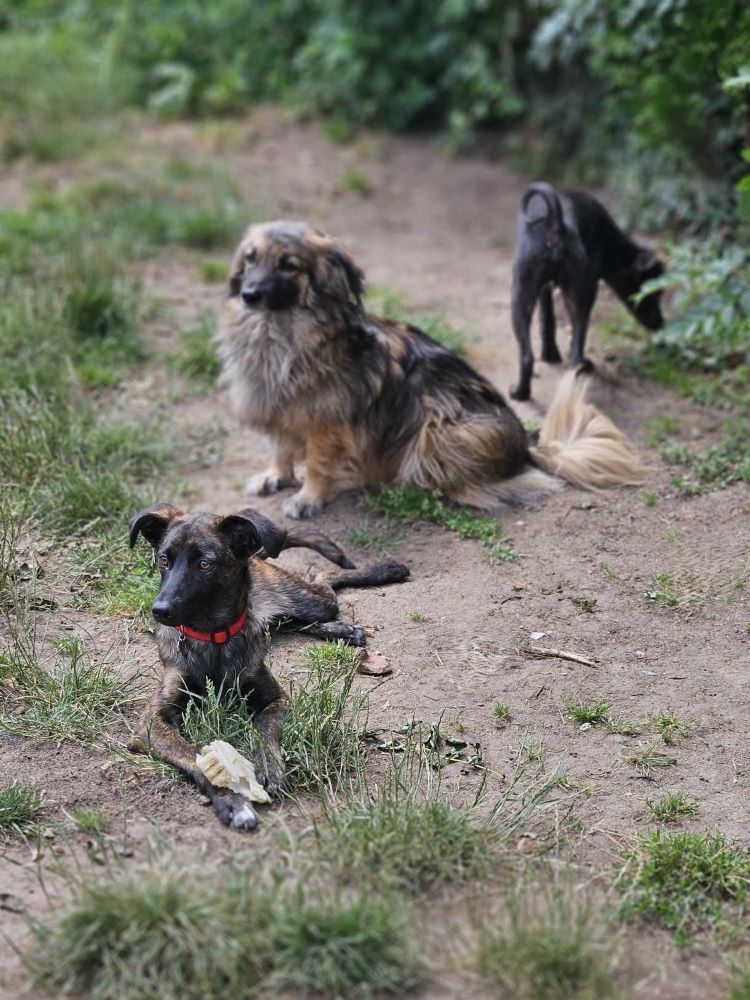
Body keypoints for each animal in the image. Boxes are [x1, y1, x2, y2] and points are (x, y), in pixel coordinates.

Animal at [130, 504, 412, 832]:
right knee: (297, 613)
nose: (159, 610)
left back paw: (385, 571)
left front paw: (270, 765)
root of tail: (256, 555)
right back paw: (342, 628)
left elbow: (264, 728)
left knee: (324, 577)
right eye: (164, 559)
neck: (213, 636)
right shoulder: (152, 721)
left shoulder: (276, 698)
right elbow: (193, 755)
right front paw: (232, 797)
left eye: (204, 564)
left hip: (307, 600)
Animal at [219, 222, 648, 520]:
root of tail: (527, 447)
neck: (281, 333)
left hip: (440, 430)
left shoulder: (328, 420)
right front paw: (275, 475)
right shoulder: (278, 405)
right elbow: (281, 446)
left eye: (288, 265)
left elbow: (317, 462)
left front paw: (308, 497)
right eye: (250, 258)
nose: (249, 294)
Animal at [512, 182, 664, 400]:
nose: (661, 323)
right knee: (573, 351)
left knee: (528, 355)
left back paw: (522, 392)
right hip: (575, 295)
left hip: (526, 295)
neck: (612, 245)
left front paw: (550, 354)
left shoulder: (545, 289)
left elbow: (547, 319)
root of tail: (556, 225)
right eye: (655, 293)